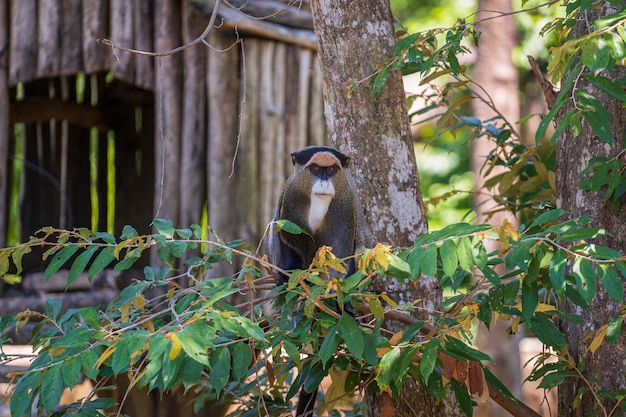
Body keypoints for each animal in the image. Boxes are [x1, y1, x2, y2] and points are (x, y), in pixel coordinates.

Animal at [266, 145, 358, 416]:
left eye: (332, 170)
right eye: (316, 169)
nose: (325, 181)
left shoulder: (344, 209)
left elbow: (340, 257)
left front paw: (343, 306)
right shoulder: (289, 200)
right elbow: (286, 237)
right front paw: (287, 277)